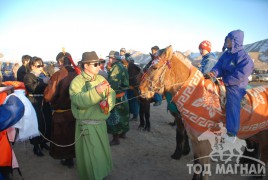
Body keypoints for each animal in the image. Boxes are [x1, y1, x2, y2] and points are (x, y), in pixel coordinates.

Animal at [139, 45, 268, 179]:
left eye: (154, 67)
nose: (141, 90)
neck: (197, 93)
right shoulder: (194, 139)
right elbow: (197, 163)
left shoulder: (203, 141)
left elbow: (203, 166)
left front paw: (178, 153)